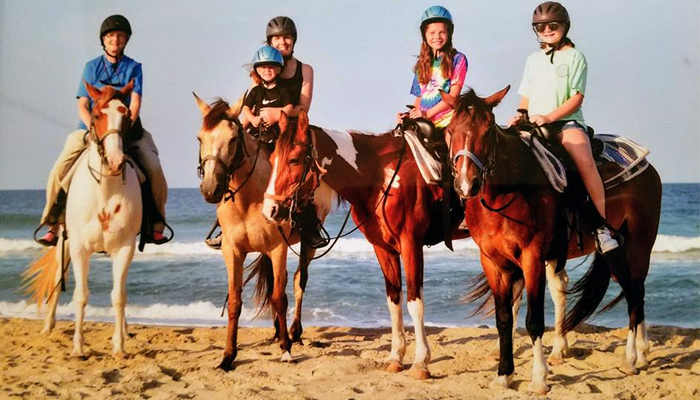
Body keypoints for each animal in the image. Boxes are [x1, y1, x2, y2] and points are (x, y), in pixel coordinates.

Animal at [24, 79, 142, 358]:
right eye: (97, 115)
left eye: (127, 116)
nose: (115, 161)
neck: (105, 190)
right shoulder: (78, 248)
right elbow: (80, 295)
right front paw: (78, 347)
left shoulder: (124, 248)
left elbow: (119, 296)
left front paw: (119, 346)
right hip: (62, 243)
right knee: (58, 281)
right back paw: (48, 326)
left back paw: (124, 330)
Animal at [193, 95, 332, 370]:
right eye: (200, 139)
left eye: (233, 139)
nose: (211, 189)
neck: (248, 199)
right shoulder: (232, 251)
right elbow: (235, 301)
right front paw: (228, 356)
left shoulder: (278, 247)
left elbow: (280, 297)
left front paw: (286, 349)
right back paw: (278, 332)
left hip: (306, 246)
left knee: (299, 281)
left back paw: (294, 332)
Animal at [260, 109, 468, 378]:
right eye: (272, 158)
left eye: (294, 160)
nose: (270, 210)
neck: (380, 176)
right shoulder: (383, 249)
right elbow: (394, 300)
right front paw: (395, 357)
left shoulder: (411, 244)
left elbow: (415, 302)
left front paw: (421, 362)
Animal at [442, 87, 660, 394]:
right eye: (450, 131)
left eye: (487, 131)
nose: (466, 184)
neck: (509, 191)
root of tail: (647, 166)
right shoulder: (493, 261)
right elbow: (504, 318)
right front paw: (504, 374)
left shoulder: (532, 257)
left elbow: (534, 320)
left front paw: (539, 378)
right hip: (619, 253)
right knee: (634, 291)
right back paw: (640, 353)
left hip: (639, 245)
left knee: (635, 292)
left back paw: (631, 358)